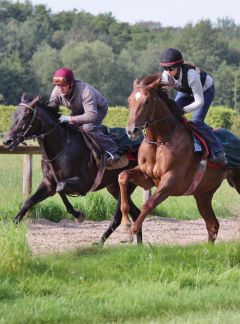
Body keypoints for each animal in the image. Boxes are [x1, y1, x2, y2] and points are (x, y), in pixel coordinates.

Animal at [2, 95, 142, 244]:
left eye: (26, 116)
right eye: (13, 116)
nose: (7, 141)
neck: (61, 147)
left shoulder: (84, 183)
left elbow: (60, 187)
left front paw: (78, 214)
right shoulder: (48, 183)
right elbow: (29, 202)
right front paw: (8, 232)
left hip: (125, 182)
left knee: (120, 215)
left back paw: (102, 241)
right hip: (113, 186)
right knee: (135, 212)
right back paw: (137, 244)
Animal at [119, 72, 240, 242]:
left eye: (147, 101)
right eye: (130, 100)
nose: (131, 130)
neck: (160, 139)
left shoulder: (171, 181)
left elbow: (148, 204)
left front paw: (132, 232)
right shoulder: (148, 178)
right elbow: (123, 176)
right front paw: (125, 224)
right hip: (203, 193)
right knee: (213, 225)